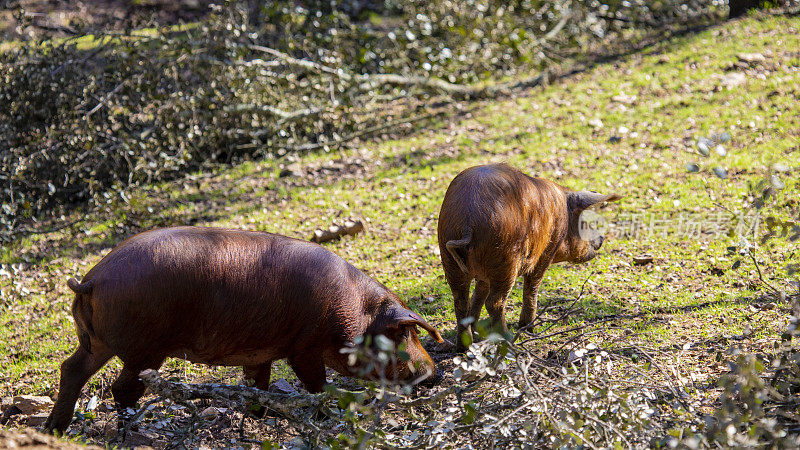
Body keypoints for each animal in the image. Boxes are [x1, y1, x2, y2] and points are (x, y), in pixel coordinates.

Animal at [43, 227, 444, 434]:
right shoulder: (305, 345)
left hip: (98, 344)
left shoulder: (261, 353)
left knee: (71, 369)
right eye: (406, 334)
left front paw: (260, 416)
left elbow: (257, 384)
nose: (434, 374)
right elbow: (315, 383)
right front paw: (324, 416)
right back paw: (134, 431)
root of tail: (90, 280)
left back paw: (54, 429)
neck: (353, 313)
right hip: (145, 350)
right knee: (121, 388)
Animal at [438, 163, 620, 352]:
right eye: (583, 223)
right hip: (506, 259)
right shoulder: (547, 252)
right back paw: (510, 340)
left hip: (449, 257)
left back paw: (464, 347)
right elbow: (532, 287)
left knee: (461, 301)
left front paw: (476, 328)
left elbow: (479, 292)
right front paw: (530, 329)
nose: (602, 239)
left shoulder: (484, 274)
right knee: (495, 302)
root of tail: (468, 221)